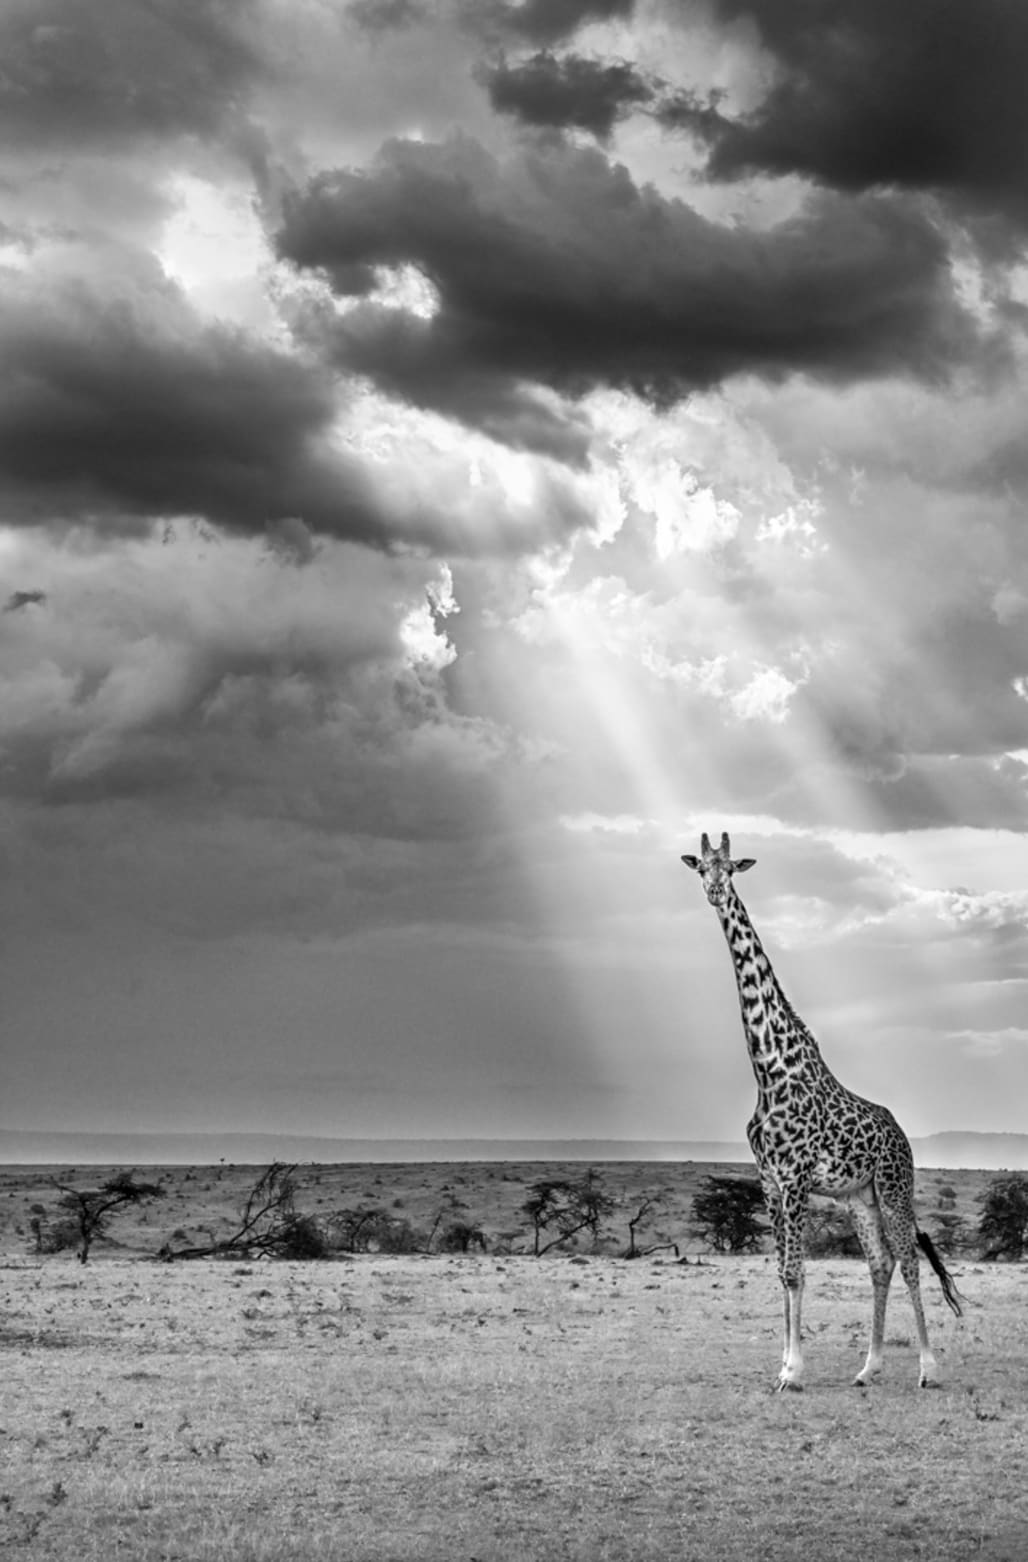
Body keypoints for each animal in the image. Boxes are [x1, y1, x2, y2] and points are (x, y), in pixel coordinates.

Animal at [681, 831, 963, 1391]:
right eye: (700, 866)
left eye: (732, 867)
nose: (715, 891)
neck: (768, 1069)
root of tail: (902, 1134)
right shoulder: (769, 1181)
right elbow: (782, 1270)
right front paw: (784, 1365)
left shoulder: (794, 1179)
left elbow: (796, 1270)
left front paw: (793, 1371)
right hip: (859, 1197)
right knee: (880, 1263)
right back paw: (868, 1367)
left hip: (894, 1187)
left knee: (909, 1260)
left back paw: (928, 1368)